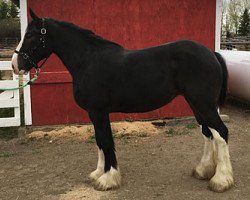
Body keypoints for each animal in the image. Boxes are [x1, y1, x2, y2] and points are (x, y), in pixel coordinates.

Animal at [11, 9, 234, 192]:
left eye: (30, 35)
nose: (15, 64)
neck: (88, 61)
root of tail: (211, 53)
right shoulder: (94, 114)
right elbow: (99, 141)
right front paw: (98, 173)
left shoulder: (99, 111)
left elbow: (106, 141)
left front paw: (107, 179)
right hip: (197, 105)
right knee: (208, 133)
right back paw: (203, 171)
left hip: (204, 105)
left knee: (221, 132)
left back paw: (221, 181)